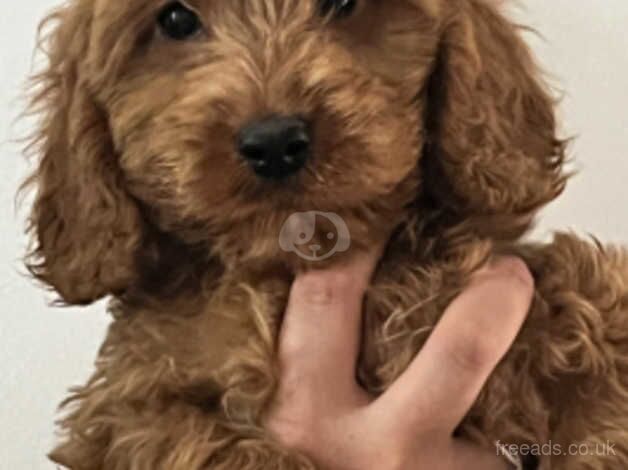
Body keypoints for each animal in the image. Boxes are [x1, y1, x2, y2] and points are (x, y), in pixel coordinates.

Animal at [25, 0, 628, 470]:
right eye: (175, 19)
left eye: (343, 3)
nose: (274, 141)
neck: (294, 264)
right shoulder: (121, 409)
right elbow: (184, 436)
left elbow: (586, 315)